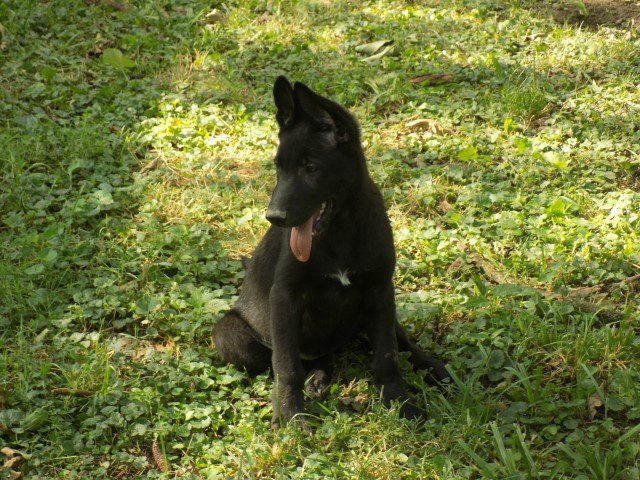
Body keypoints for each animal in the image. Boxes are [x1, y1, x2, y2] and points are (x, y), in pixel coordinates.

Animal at [212, 76, 448, 428]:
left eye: (311, 168)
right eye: (278, 168)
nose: (274, 217)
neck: (339, 231)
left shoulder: (379, 290)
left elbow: (387, 353)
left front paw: (399, 402)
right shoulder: (285, 297)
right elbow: (286, 365)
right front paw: (291, 415)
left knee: (397, 340)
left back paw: (432, 367)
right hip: (230, 336)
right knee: (289, 359)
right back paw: (314, 380)